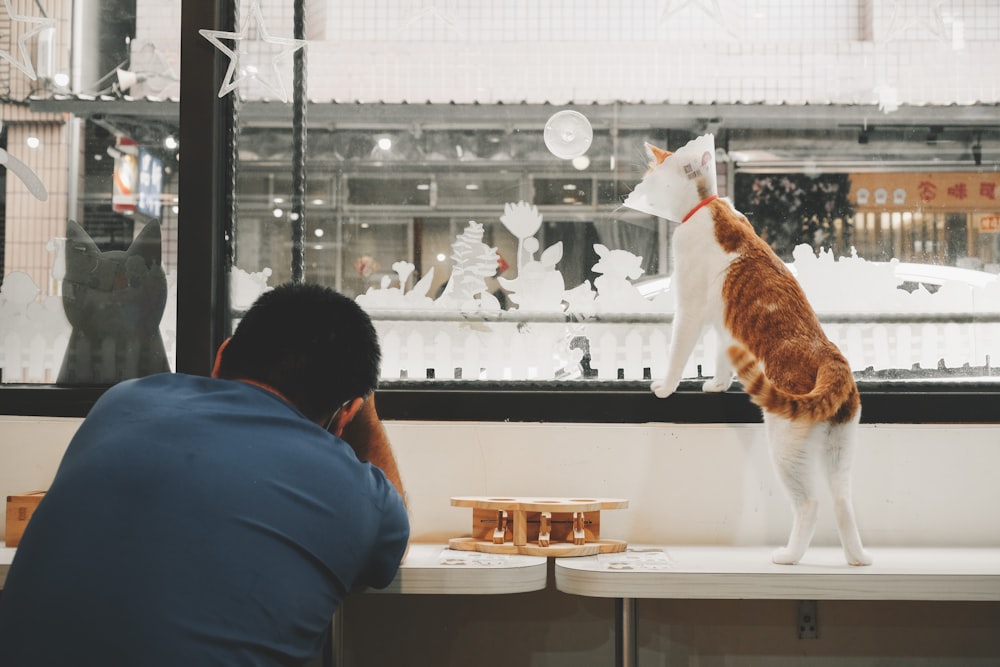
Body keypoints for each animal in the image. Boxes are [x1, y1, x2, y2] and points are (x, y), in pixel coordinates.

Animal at [624, 136, 868, 568]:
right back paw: (857, 559)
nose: (643, 186)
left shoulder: (690, 307)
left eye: (652, 173)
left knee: (811, 503)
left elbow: (678, 350)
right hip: (841, 446)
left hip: (785, 446)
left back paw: (788, 556)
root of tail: (832, 357)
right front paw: (718, 385)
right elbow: (723, 356)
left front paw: (664, 387)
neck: (708, 206)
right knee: (842, 500)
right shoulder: (725, 326)